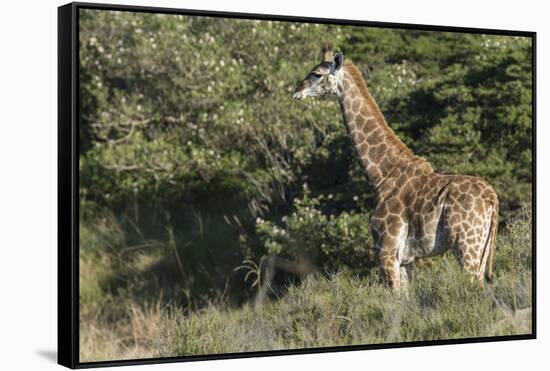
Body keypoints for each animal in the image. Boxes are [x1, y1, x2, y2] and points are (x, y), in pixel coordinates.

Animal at [294, 44, 500, 294]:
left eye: (316, 74)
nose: (296, 91)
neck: (380, 175)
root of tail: (492, 199)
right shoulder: (405, 261)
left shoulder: (386, 252)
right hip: (482, 248)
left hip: (467, 245)